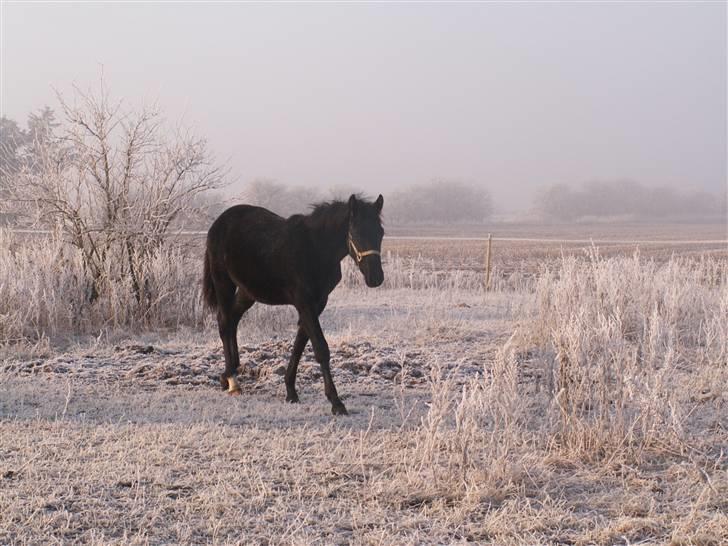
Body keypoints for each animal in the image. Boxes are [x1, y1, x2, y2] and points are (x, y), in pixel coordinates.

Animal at [202, 193, 384, 410]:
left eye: (381, 233)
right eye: (355, 232)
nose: (376, 278)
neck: (315, 249)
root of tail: (218, 223)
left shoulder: (318, 303)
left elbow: (299, 345)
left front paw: (290, 391)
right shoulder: (304, 302)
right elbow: (320, 348)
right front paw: (336, 402)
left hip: (248, 291)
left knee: (233, 319)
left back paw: (229, 374)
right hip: (223, 282)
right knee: (224, 322)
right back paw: (232, 380)